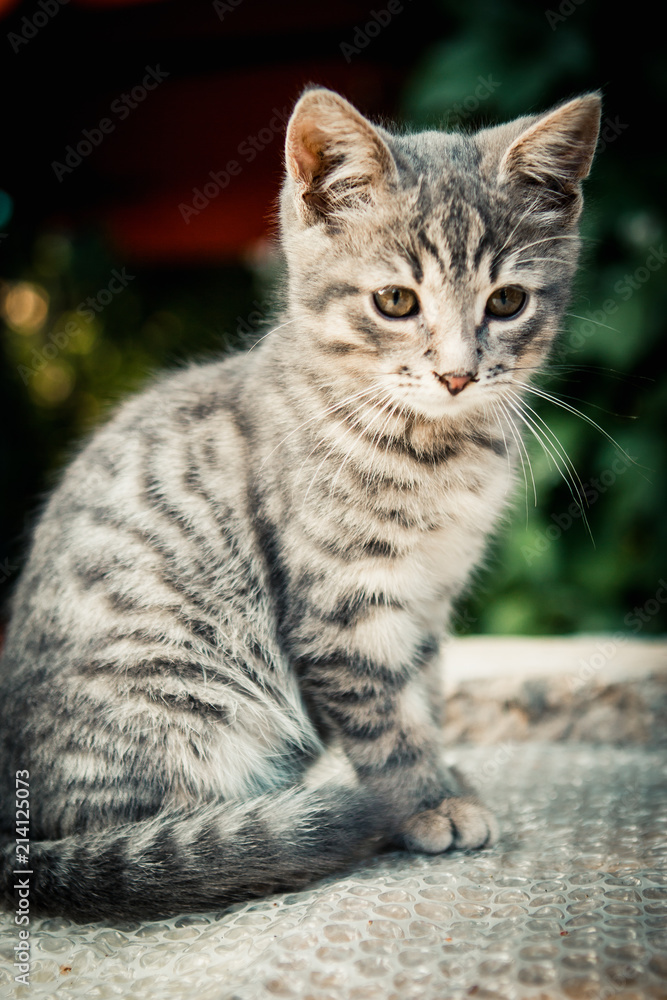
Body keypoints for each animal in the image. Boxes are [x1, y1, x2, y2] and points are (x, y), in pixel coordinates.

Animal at [0, 88, 600, 920]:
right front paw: (424, 802)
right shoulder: (340, 605)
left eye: (507, 301)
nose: (456, 375)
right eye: (395, 301)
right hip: (191, 696)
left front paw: (443, 774)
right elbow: (381, 718)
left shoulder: (426, 599)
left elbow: (422, 693)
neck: (435, 452)